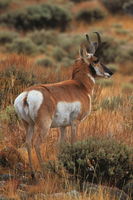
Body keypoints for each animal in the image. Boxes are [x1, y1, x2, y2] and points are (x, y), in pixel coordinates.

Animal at [13, 32, 113, 178]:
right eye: (96, 60)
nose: (110, 72)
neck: (80, 86)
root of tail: (27, 94)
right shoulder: (75, 123)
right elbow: (73, 143)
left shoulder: (63, 127)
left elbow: (61, 145)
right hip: (44, 125)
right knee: (36, 143)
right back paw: (44, 171)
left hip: (28, 125)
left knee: (27, 143)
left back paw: (33, 173)